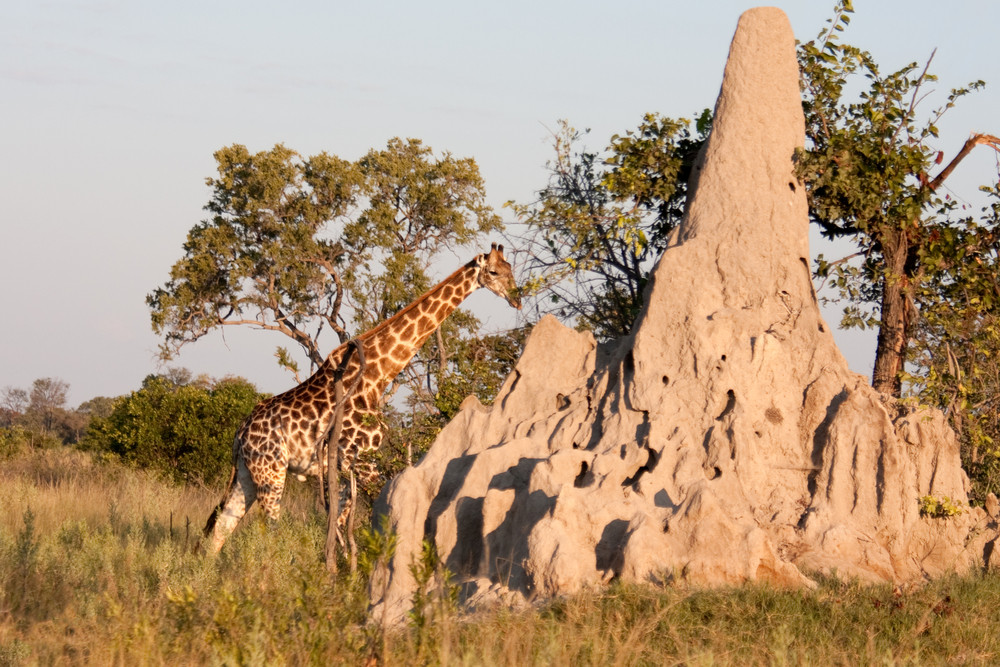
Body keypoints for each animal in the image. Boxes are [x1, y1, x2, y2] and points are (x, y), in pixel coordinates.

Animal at [199, 244, 520, 552]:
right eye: (492, 272)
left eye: (510, 269)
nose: (516, 298)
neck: (378, 376)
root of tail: (240, 433)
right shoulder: (364, 462)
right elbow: (377, 511)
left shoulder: (348, 467)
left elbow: (339, 524)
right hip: (271, 471)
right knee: (268, 529)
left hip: (247, 473)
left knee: (221, 528)